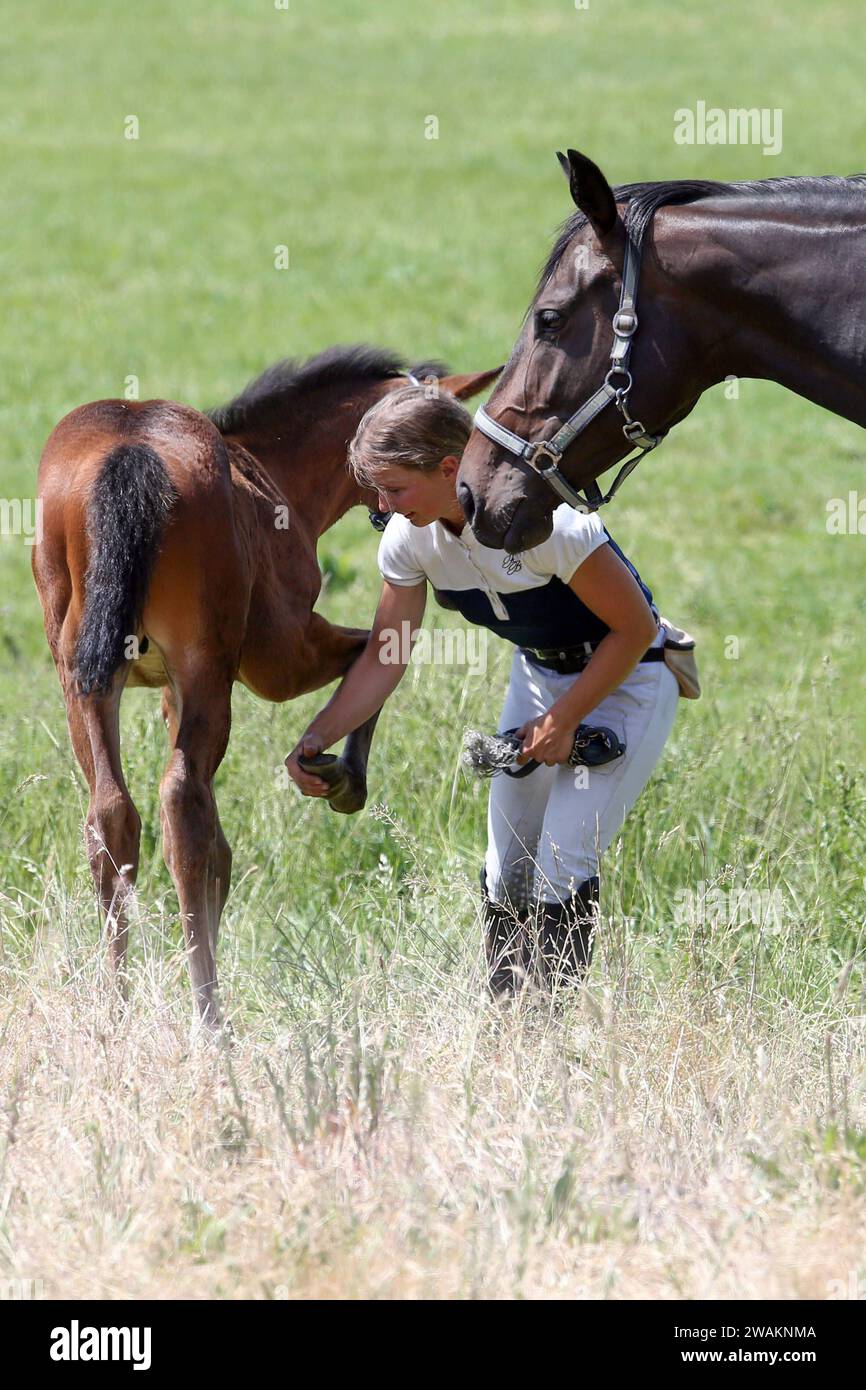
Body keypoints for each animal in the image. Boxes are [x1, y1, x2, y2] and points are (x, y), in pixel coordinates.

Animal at [32, 346, 500, 1028]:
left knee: (113, 817)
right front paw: (342, 777)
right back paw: (209, 1019)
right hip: (207, 673)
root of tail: (131, 452)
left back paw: (115, 1010)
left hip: (84, 678)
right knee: (182, 812)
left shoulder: (172, 692)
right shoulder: (279, 660)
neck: (269, 471)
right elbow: (371, 654)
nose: (467, 503)